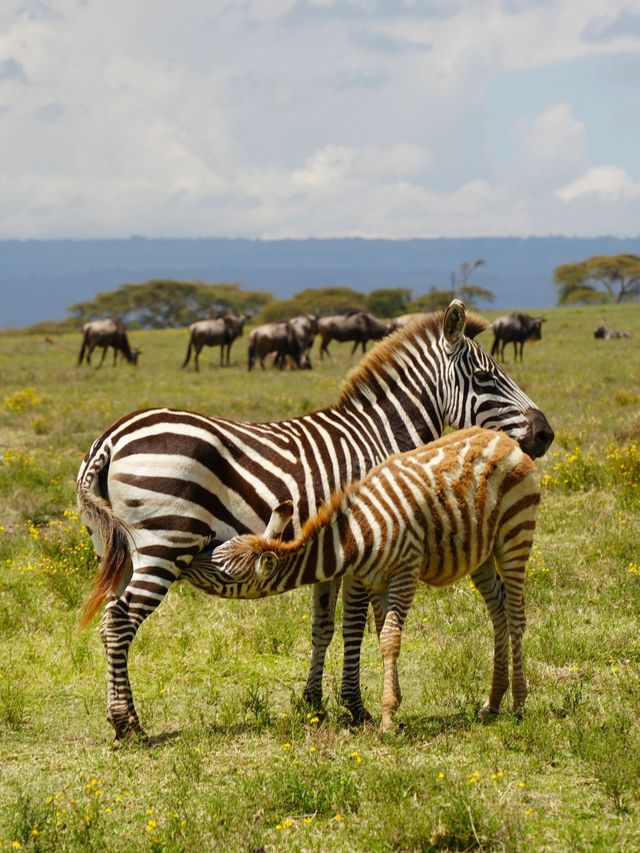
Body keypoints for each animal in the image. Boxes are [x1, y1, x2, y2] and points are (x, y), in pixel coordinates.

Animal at [210, 426, 540, 732]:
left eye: (226, 572)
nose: (198, 556)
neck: (353, 536)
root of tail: (503, 438)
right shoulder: (377, 581)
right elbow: (383, 634)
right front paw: (393, 704)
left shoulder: (405, 571)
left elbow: (390, 638)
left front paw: (387, 718)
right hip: (481, 553)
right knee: (499, 610)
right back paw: (493, 701)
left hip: (515, 533)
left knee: (516, 614)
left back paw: (519, 703)